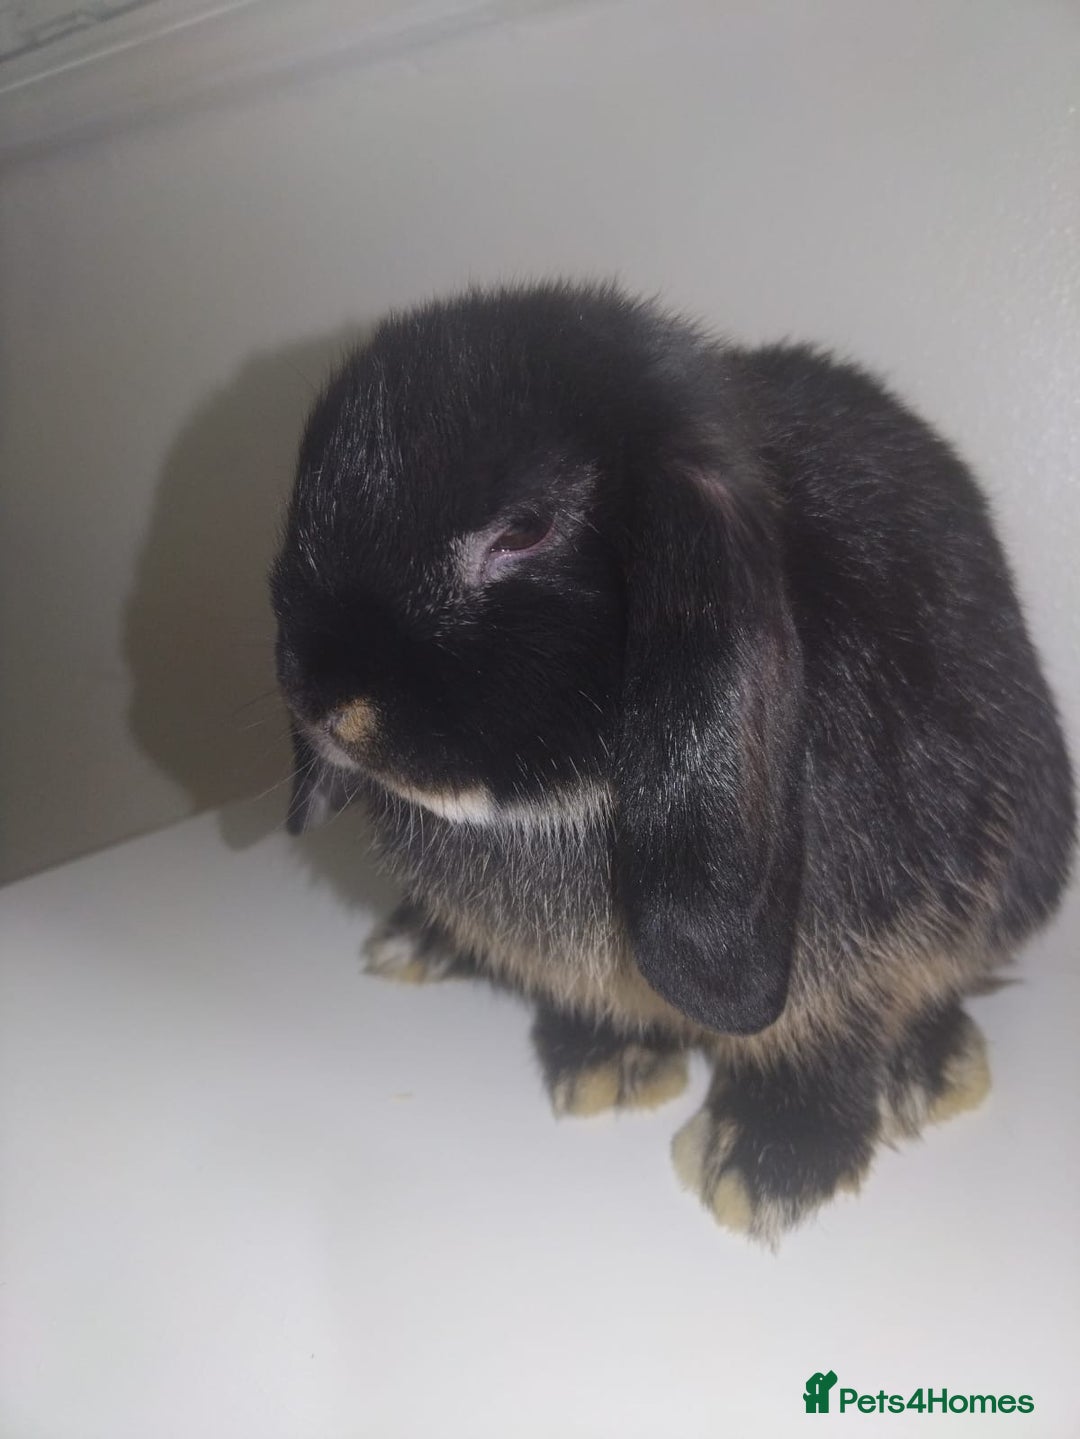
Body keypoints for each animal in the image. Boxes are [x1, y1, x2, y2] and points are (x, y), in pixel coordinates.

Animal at [270, 281, 1074, 1244]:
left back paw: (930, 1069)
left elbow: (830, 1032)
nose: (325, 701)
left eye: (524, 530)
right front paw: (605, 1066)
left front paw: (765, 1165)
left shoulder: (862, 949)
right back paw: (416, 940)